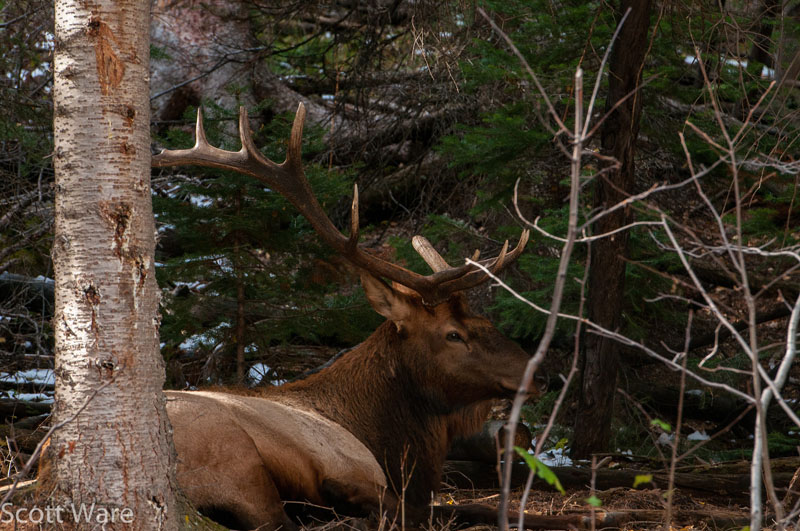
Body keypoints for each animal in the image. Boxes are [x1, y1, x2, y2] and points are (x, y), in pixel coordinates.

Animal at [153, 104, 535, 530]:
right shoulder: (356, 469)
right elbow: (465, 508)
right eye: (453, 334)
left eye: (486, 322)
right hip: (236, 460)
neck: (384, 439)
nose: (533, 371)